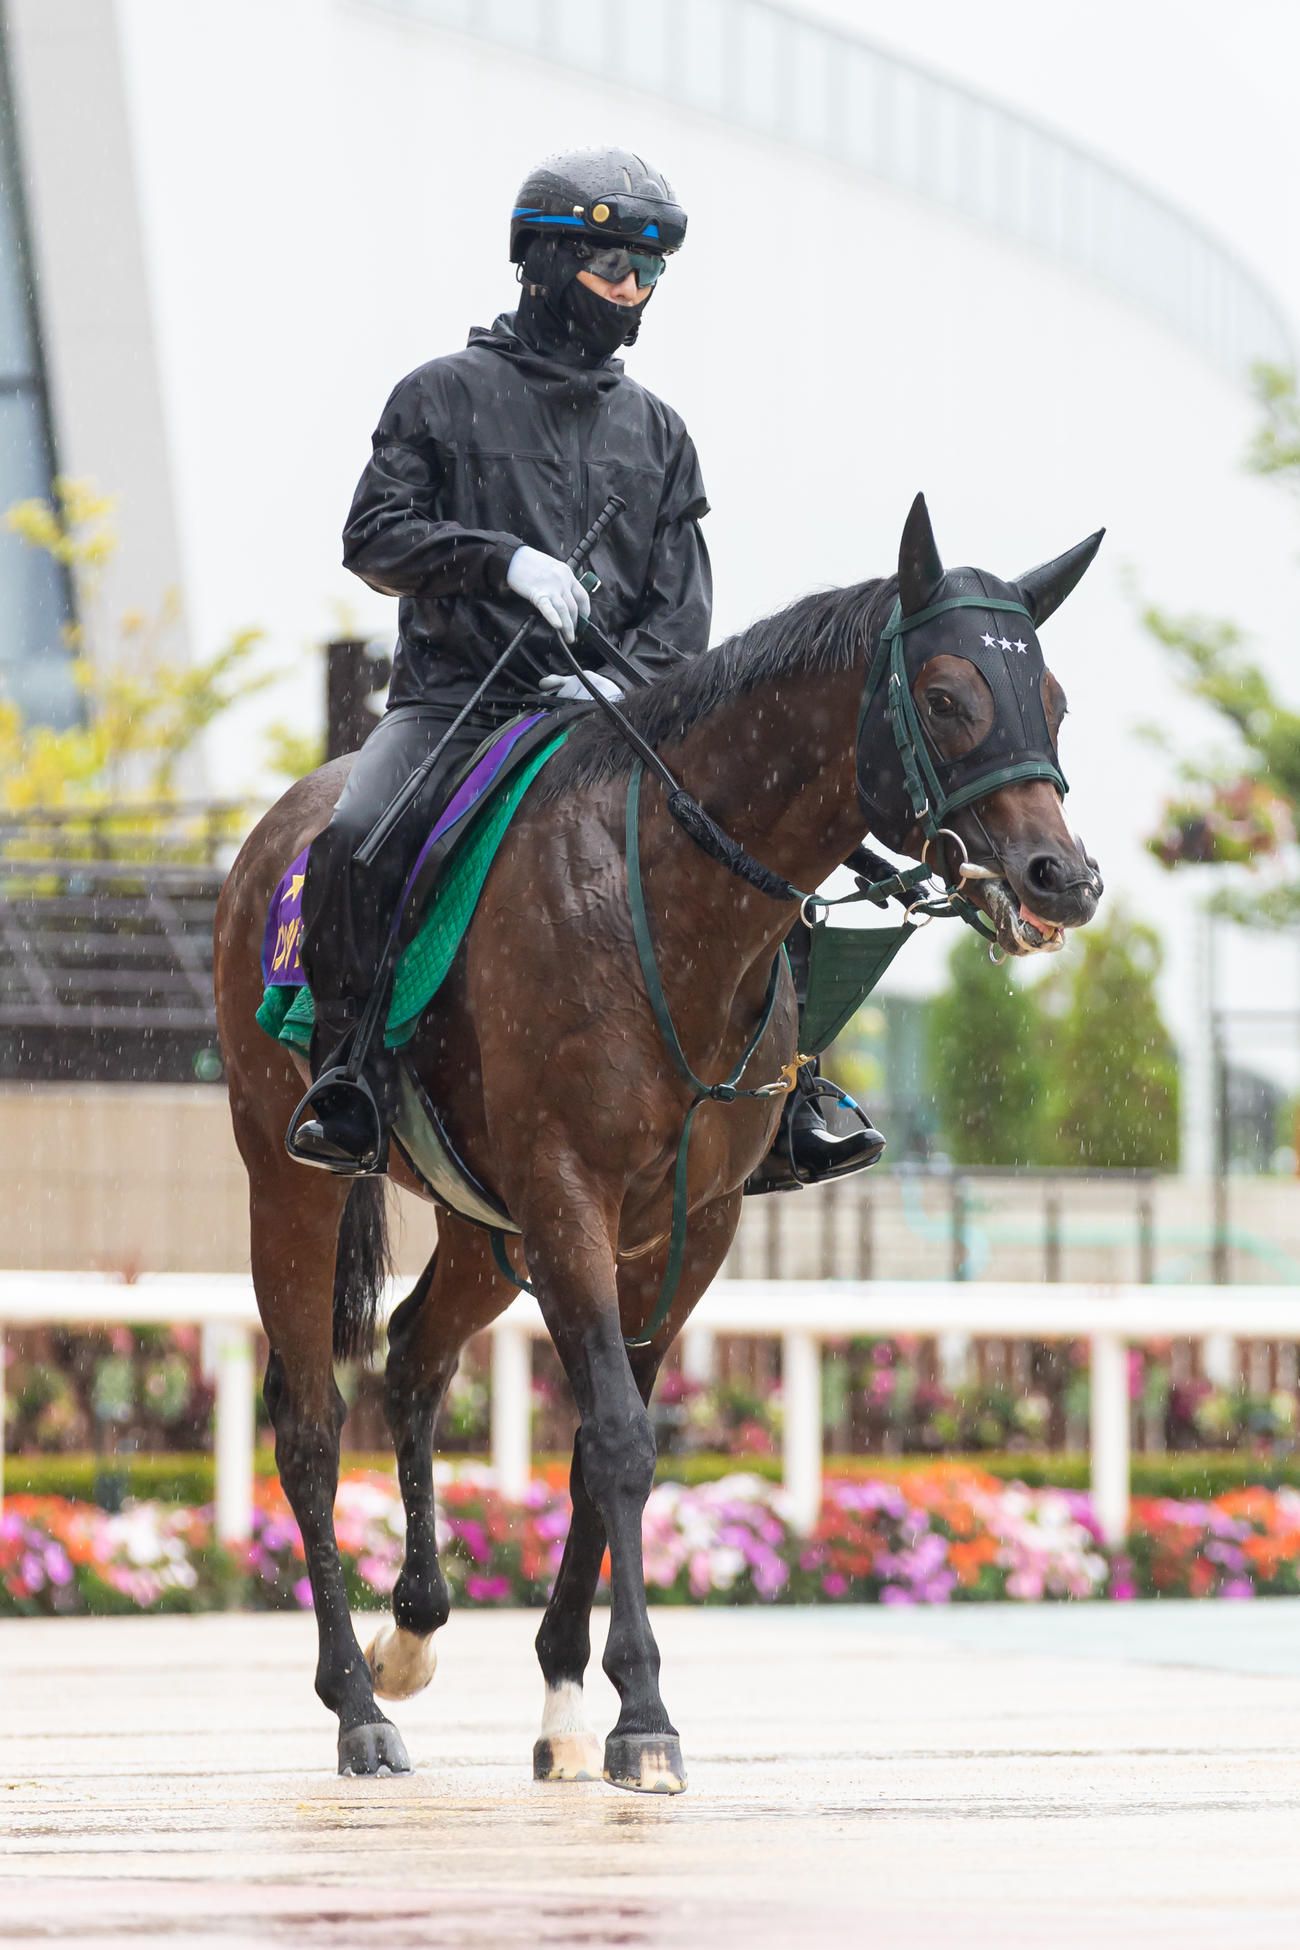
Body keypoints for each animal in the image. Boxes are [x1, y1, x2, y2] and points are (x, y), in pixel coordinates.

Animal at [213, 494, 1103, 1790]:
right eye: (945, 694)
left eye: (1053, 699)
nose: (1061, 878)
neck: (671, 905)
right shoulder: (570, 1197)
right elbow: (621, 1442)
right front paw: (641, 1712)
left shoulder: (688, 1221)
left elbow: (602, 1444)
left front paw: (567, 1701)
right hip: (292, 1181)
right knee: (311, 1422)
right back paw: (355, 1704)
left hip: (484, 1226)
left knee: (415, 1356)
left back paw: (414, 1629)